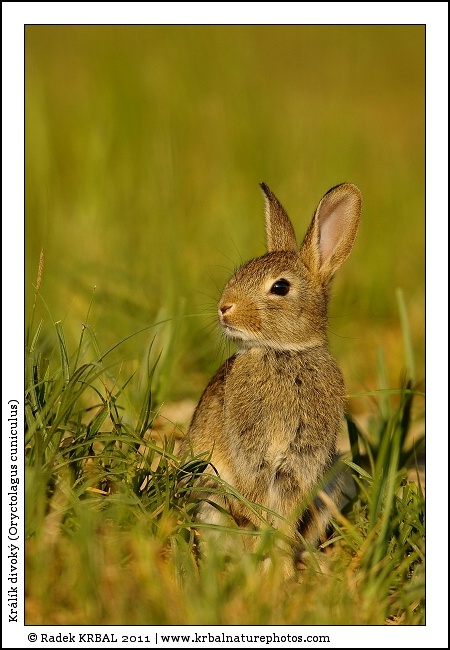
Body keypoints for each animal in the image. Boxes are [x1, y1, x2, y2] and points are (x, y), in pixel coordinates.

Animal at [180, 182, 361, 571]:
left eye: (280, 288)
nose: (224, 307)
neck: (283, 353)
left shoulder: (300, 461)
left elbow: (286, 517)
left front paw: (279, 565)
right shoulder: (250, 454)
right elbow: (255, 502)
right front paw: (268, 560)